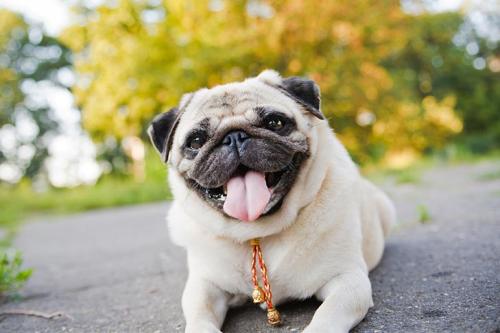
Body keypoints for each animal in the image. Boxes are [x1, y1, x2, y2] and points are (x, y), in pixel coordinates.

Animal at [147, 68, 394, 330]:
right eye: (196, 141)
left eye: (274, 123)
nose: (234, 136)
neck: (256, 233)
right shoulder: (203, 285)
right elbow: (198, 318)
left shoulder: (348, 279)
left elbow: (327, 315)